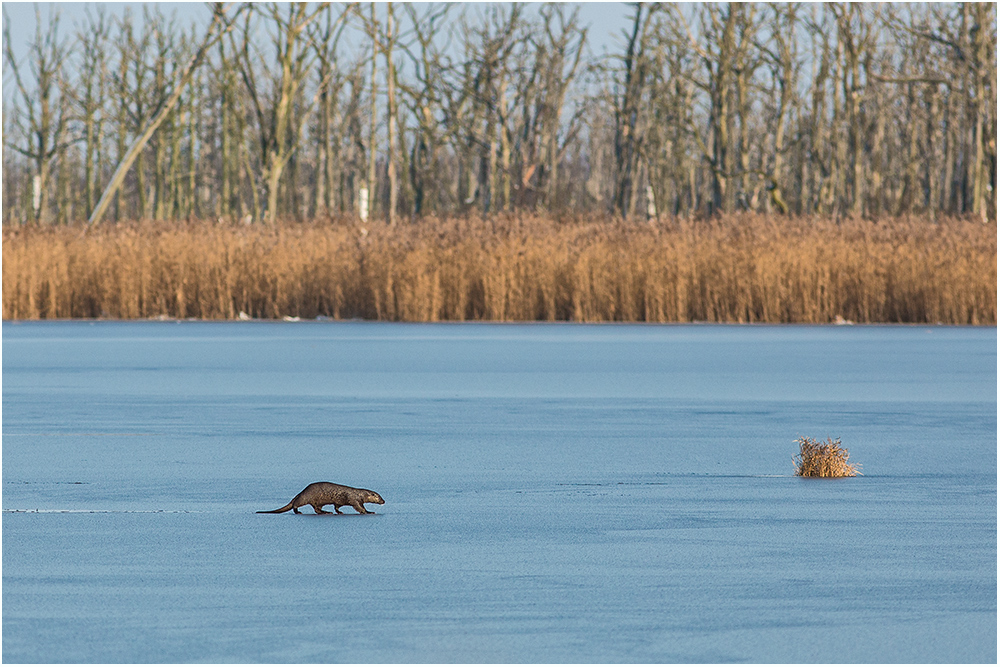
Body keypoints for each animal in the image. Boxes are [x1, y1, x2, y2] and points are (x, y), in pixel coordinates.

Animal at [256, 480, 384, 516]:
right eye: (379, 497)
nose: (384, 501)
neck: (359, 494)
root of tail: (301, 492)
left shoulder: (340, 501)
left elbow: (337, 506)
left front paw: (339, 512)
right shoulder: (355, 500)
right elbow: (359, 507)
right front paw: (369, 512)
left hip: (317, 502)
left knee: (317, 509)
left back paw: (325, 512)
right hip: (305, 497)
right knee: (296, 504)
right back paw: (298, 512)